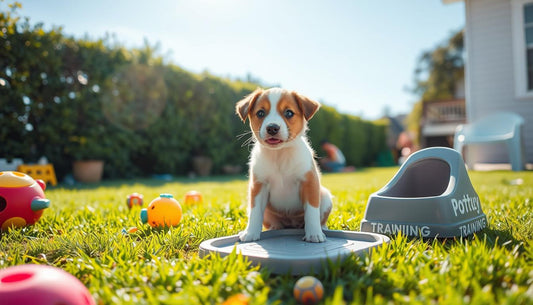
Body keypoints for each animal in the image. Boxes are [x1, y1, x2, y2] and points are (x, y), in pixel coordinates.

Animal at [235, 86, 330, 241]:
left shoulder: (309, 183)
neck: (279, 154)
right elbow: (254, 213)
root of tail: (291, 223)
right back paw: (274, 228)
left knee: (320, 218)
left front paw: (314, 234)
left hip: (326, 197)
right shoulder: (258, 186)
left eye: (289, 112)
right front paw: (250, 233)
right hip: (268, 213)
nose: (272, 128)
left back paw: (322, 229)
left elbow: (311, 212)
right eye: (260, 113)